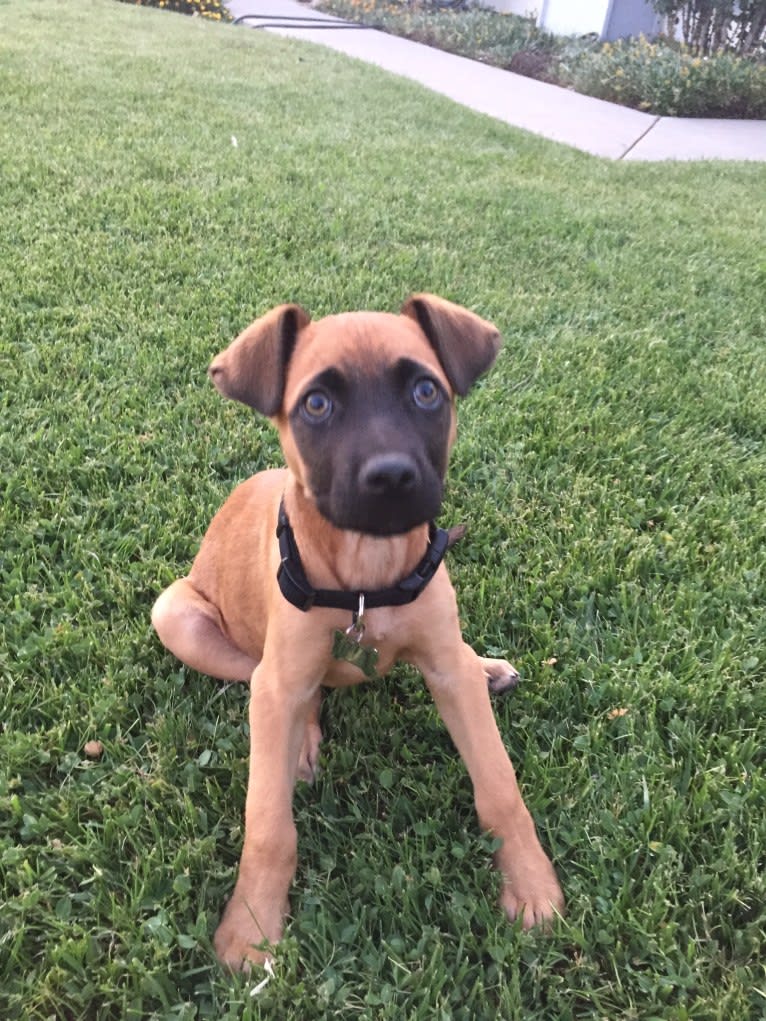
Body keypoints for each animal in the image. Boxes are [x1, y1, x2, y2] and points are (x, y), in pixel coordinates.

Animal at [153, 292, 567, 967]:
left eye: (426, 392)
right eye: (316, 404)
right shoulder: (280, 677)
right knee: (279, 686)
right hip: (177, 616)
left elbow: (500, 786)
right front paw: (250, 929)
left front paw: (531, 886)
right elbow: (268, 825)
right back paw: (303, 740)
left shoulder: (445, 668)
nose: (391, 478)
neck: (368, 580)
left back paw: (484, 666)